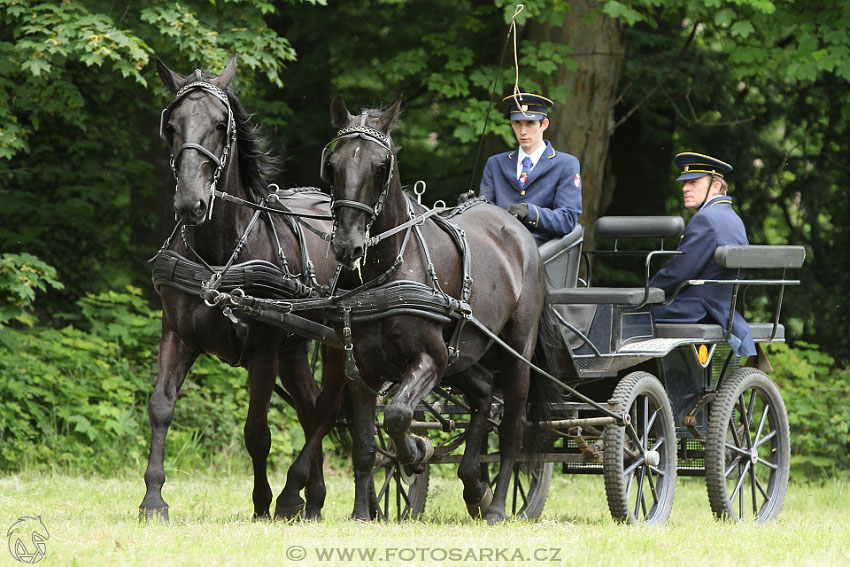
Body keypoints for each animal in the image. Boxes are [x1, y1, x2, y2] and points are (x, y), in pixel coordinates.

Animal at [136, 58, 342, 524]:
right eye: (171, 125)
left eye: (219, 124)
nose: (190, 203)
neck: (220, 255)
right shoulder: (177, 334)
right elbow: (161, 407)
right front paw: (153, 498)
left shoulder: (262, 351)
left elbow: (256, 432)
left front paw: (264, 503)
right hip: (294, 348)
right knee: (310, 407)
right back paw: (314, 498)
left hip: (335, 343)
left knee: (326, 409)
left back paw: (296, 495)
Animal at [322, 96, 556, 524]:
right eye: (333, 165)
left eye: (381, 167)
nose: (348, 245)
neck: (387, 270)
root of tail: (516, 228)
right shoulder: (360, 369)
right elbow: (365, 445)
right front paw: (362, 512)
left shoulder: (429, 359)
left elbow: (398, 414)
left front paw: (415, 451)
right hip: (463, 356)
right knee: (483, 395)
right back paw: (475, 485)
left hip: (515, 354)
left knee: (513, 428)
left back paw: (498, 506)